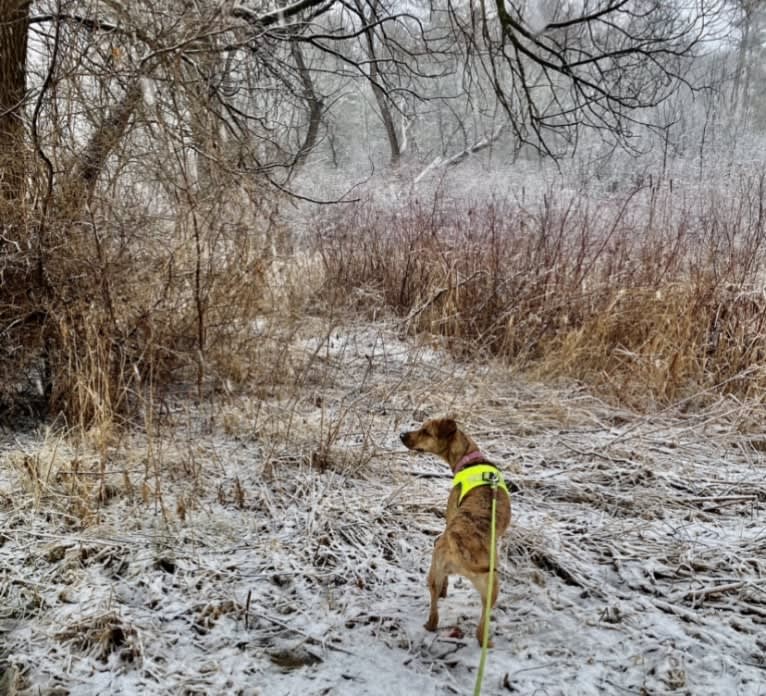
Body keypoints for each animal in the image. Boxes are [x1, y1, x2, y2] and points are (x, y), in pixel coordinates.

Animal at [400, 416, 512, 644]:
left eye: (426, 431)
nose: (401, 435)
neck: (469, 456)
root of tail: (460, 548)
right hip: (491, 588)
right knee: (479, 628)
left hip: (436, 571)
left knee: (436, 610)